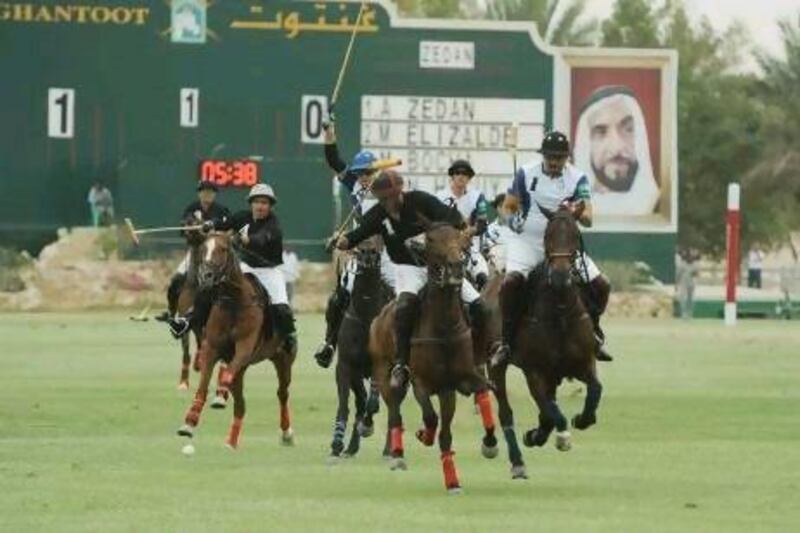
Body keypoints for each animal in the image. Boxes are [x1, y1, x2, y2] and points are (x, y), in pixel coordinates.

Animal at [175, 233, 296, 448]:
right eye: (204, 249)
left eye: (223, 249)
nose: (205, 277)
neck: (234, 300)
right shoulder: (212, 348)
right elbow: (203, 386)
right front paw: (189, 423)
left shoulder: (244, 347)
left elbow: (226, 374)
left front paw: (221, 391)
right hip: (245, 366)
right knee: (241, 404)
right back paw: (231, 441)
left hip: (282, 359)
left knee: (282, 393)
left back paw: (287, 433)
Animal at [324, 235, 390, 460]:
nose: (368, 252)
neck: (366, 315)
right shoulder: (345, 366)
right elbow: (345, 404)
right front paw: (337, 442)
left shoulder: (382, 366)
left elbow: (372, 402)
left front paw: (367, 426)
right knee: (360, 401)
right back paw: (352, 446)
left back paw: (389, 448)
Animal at [368, 222, 494, 492]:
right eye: (432, 241)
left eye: (461, 241)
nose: (456, 266)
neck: (444, 328)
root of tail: (380, 316)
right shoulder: (421, 384)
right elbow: (430, 417)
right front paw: (423, 435)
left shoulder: (452, 385)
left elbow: (447, 432)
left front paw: (455, 478)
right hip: (385, 375)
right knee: (394, 411)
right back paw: (397, 454)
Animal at [488, 207, 608, 478]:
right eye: (547, 236)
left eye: (575, 235)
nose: (562, 276)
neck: (560, 311)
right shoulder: (535, 371)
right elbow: (552, 411)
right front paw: (560, 436)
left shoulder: (584, 363)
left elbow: (595, 391)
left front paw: (580, 419)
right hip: (494, 364)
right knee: (506, 411)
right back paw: (517, 459)